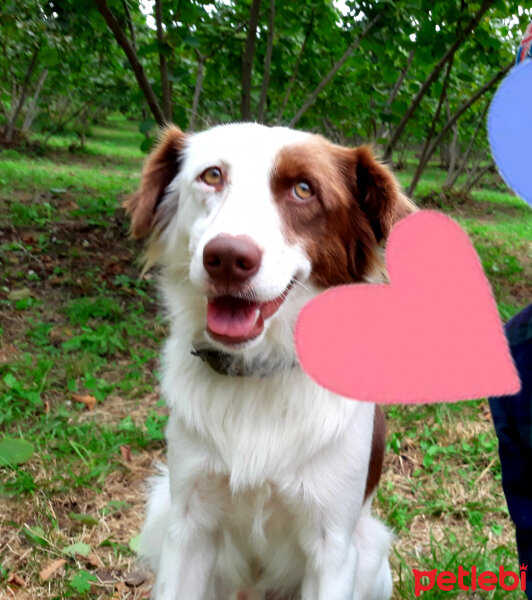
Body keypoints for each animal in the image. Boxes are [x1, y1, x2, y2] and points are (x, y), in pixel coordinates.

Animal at [125, 123, 416, 600]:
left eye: (304, 189)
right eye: (211, 176)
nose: (227, 258)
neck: (261, 370)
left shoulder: (332, 546)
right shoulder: (189, 522)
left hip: (371, 548)